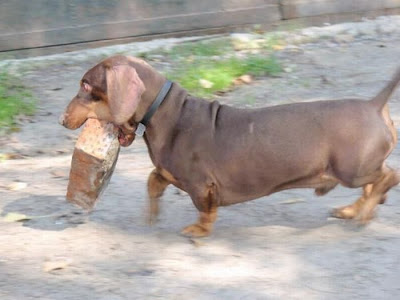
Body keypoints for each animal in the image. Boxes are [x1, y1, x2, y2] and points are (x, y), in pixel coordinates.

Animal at [60, 54, 400, 237]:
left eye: (86, 85)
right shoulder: (169, 173)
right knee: (374, 184)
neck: (168, 112)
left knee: (388, 176)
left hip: (351, 169)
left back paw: (363, 213)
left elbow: (204, 211)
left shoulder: (200, 185)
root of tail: (374, 104)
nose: (62, 119)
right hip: (356, 170)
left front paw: (198, 231)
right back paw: (354, 210)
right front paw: (151, 215)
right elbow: (152, 181)